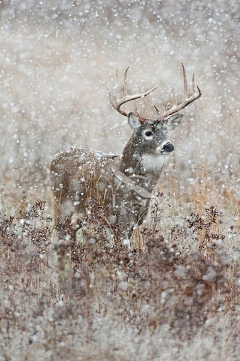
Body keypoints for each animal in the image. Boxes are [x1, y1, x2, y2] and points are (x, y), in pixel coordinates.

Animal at [50, 65, 201, 243]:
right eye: (148, 133)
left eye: (166, 132)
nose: (168, 145)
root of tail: (55, 157)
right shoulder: (118, 216)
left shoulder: (137, 220)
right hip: (60, 202)